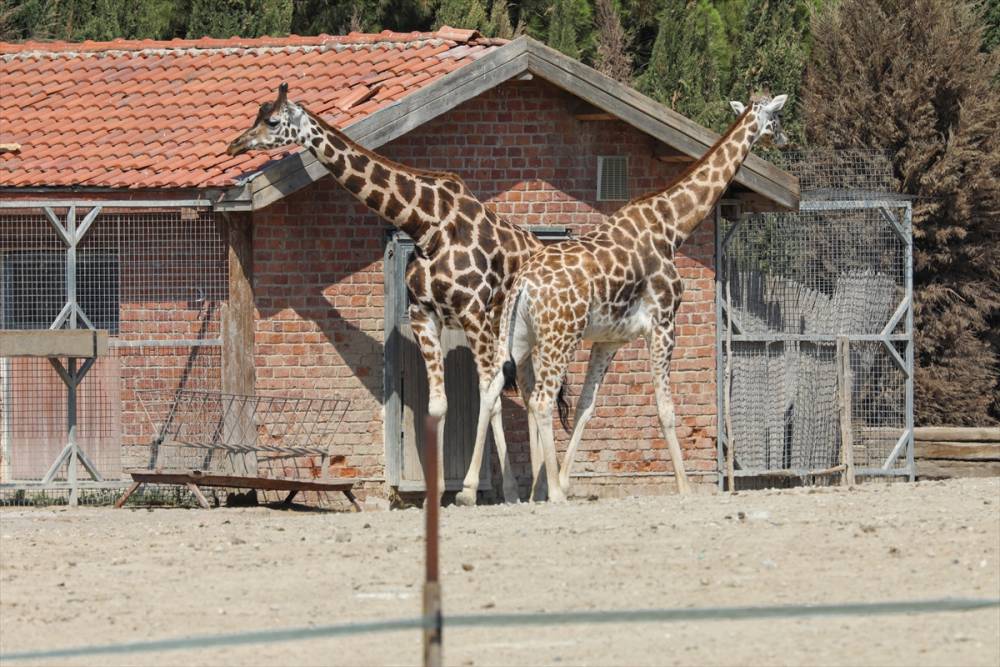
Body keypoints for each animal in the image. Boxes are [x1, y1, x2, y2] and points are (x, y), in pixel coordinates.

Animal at [227, 81, 548, 504]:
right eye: (256, 116)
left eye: (274, 121)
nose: (235, 145)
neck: (426, 225)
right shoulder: (425, 316)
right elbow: (439, 405)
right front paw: (435, 494)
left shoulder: (471, 311)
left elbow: (485, 393)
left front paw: (466, 491)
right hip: (508, 332)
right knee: (525, 393)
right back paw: (529, 490)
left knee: (526, 391)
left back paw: (538, 488)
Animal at [462, 92, 788, 500]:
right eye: (776, 118)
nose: (783, 141)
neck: (674, 225)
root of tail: (523, 284)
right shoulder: (663, 323)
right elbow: (665, 408)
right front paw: (684, 486)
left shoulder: (610, 338)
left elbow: (587, 405)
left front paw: (566, 480)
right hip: (560, 335)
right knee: (540, 400)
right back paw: (550, 494)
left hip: (520, 336)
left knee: (491, 390)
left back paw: (469, 488)